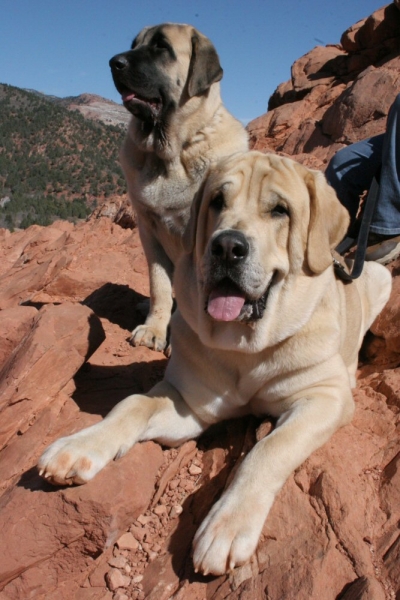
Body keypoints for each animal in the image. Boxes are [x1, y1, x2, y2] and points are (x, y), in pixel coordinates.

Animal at [39, 151, 392, 576]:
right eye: (217, 203)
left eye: (280, 210)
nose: (226, 247)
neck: (245, 349)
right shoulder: (189, 403)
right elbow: (133, 404)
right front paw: (79, 446)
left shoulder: (324, 398)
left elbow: (269, 449)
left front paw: (228, 526)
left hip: (380, 277)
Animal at [109, 23, 247, 352]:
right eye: (134, 44)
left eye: (162, 47)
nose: (114, 63)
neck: (170, 155)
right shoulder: (149, 231)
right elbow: (159, 285)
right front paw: (154, 328)